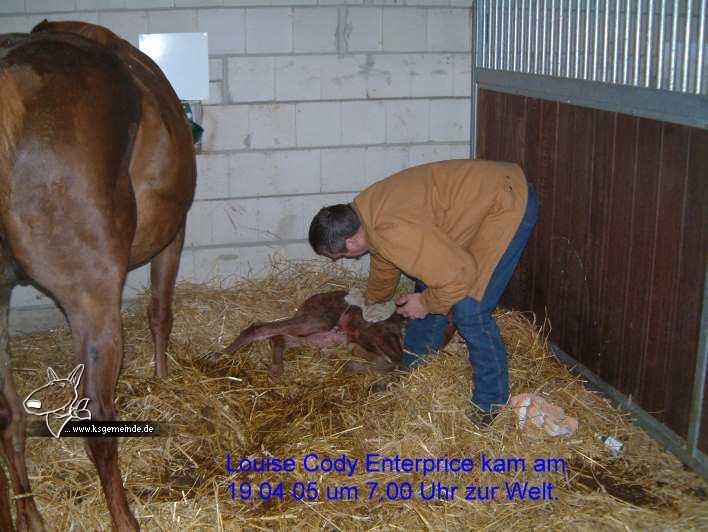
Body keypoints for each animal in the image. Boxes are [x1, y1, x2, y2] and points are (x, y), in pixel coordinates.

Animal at [0, 21, 195, 532]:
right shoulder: (174, 237)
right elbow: (160, 313)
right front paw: (163, 377)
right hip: (93, 303)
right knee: (98, 422)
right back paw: (125, 520)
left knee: (8, 415)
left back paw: (28, 516)